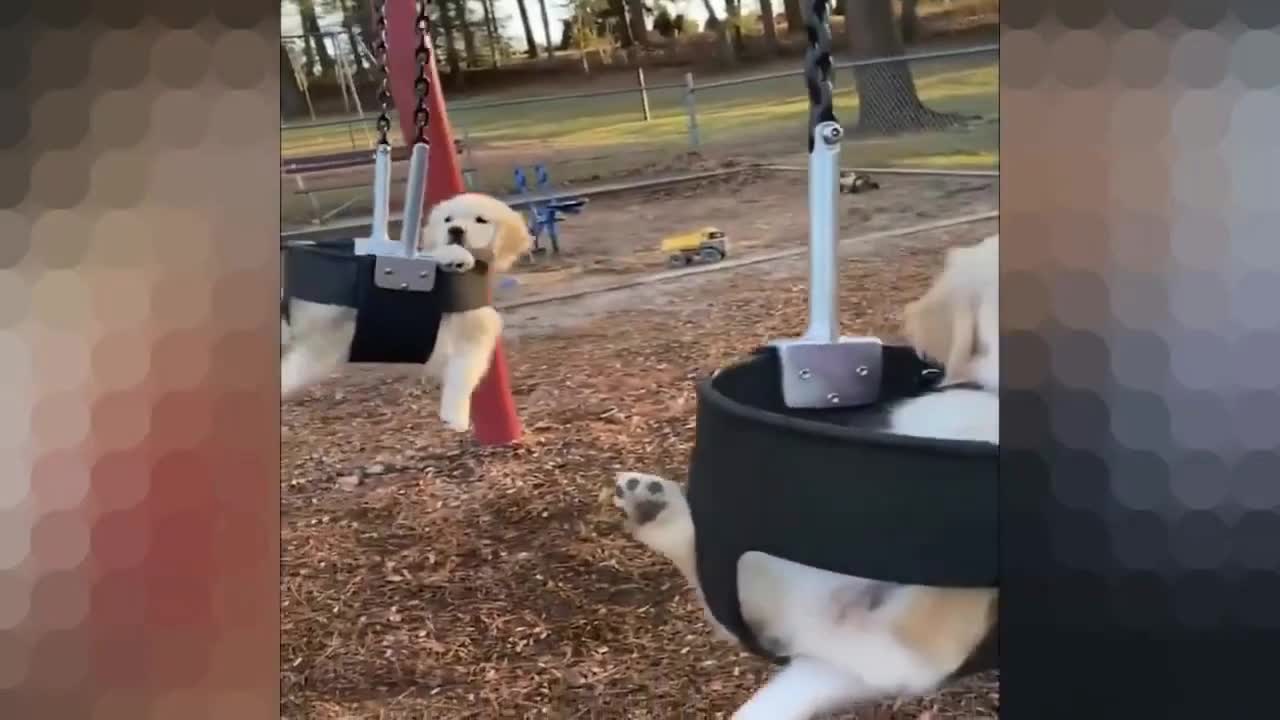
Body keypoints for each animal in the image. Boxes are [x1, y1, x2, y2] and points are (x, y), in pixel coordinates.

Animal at [282, 189, 532, 430]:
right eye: (448, 219)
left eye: (481, 220)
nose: (455, 230)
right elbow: (434, 254)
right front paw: (454, 255)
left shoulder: (474, 335)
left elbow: (464, 372)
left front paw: (455, 415)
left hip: (314, 358)